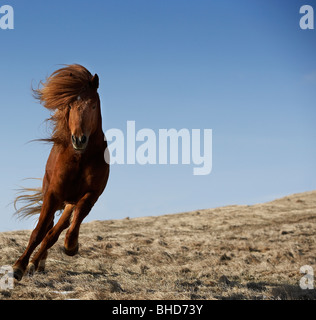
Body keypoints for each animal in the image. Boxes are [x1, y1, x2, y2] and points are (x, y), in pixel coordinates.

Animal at [12, 64, 110, 280]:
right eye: (70, 106)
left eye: (93, 105)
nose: (79, 139)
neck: (80, 159)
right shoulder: (53, 194)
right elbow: (38, 231)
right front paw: (18, 266)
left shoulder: (91, 195)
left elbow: (71, 224)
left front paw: (72, 246)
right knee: (48, 227)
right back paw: (33, 263)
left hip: (68, 203)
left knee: (55, 231)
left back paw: (37, 263)